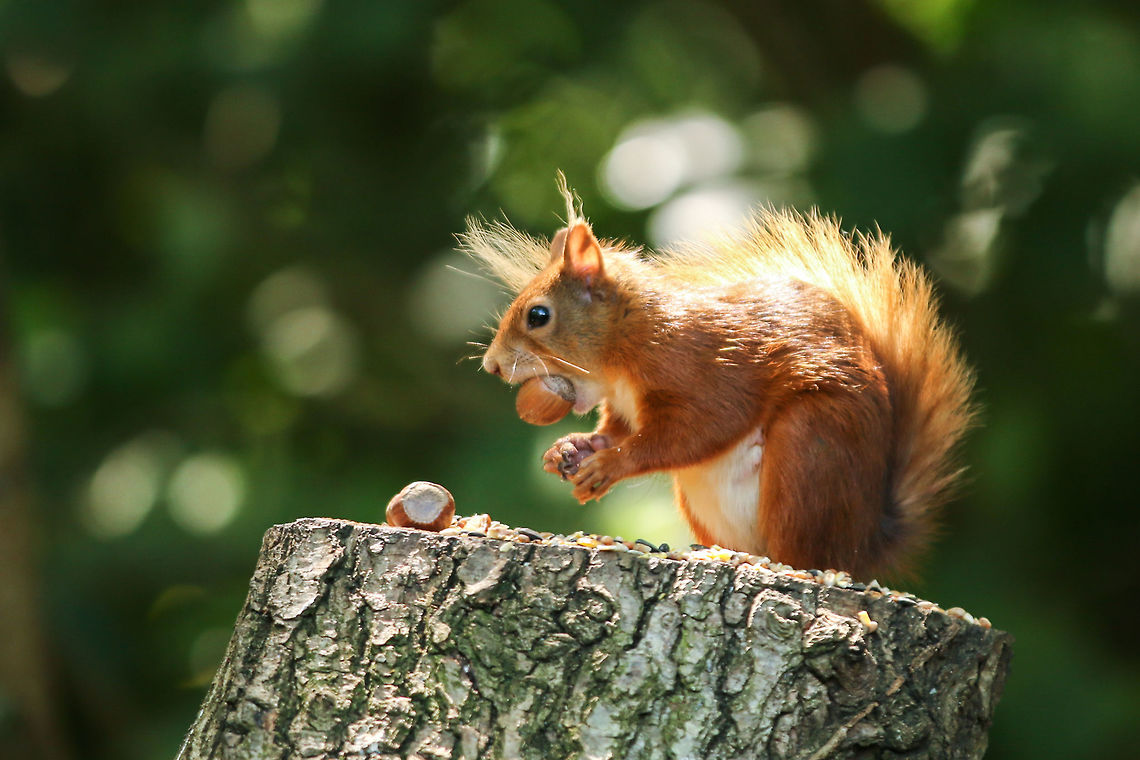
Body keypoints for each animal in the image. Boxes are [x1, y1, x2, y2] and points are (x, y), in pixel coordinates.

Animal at [463, 180, 976, 579]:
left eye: (538, 316)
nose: (491, 365)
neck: (628, 345)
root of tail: (866, 543)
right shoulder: (626, 408)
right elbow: (616, 432)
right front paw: (569, 449)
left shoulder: (702, 371)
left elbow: (697, 430)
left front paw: (610, 466)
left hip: (810, 452)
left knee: (801, 553)